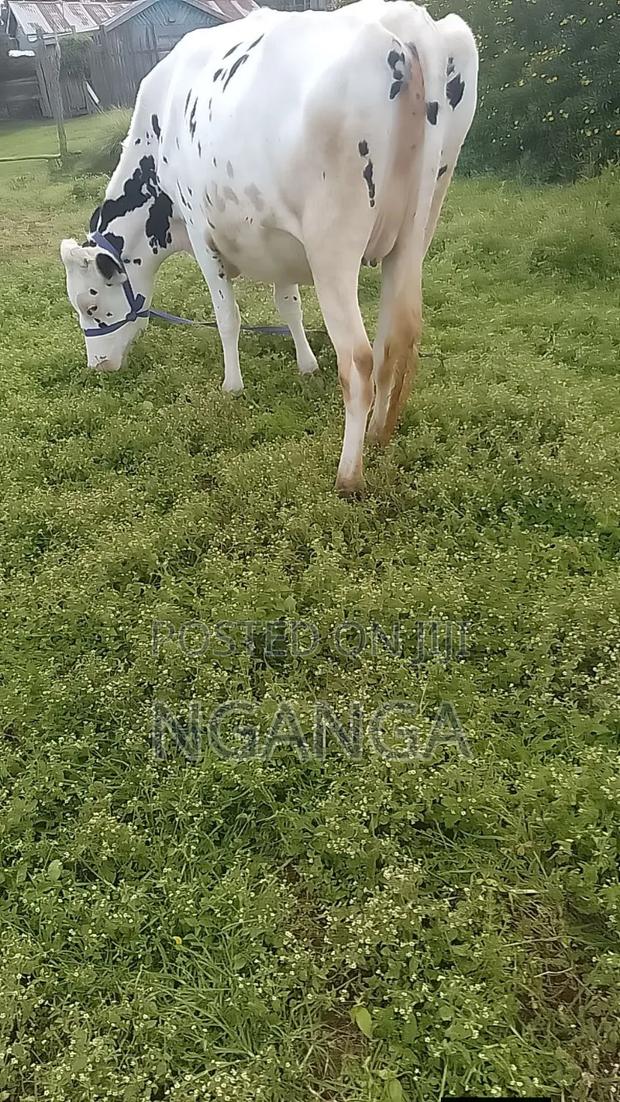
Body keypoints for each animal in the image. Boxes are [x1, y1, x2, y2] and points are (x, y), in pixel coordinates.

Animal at [61, 0, 478, 494]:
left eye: (90, 305)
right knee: (396, 337)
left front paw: (232, 386)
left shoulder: (200, 232)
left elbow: (228, 318)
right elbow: (288, 305)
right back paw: (379, 435)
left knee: (358, 358)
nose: (98, 366)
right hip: (418, 230)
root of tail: (407, 26)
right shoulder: (281, 241)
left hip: (333, 247)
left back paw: (348, 475)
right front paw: (306, 364)